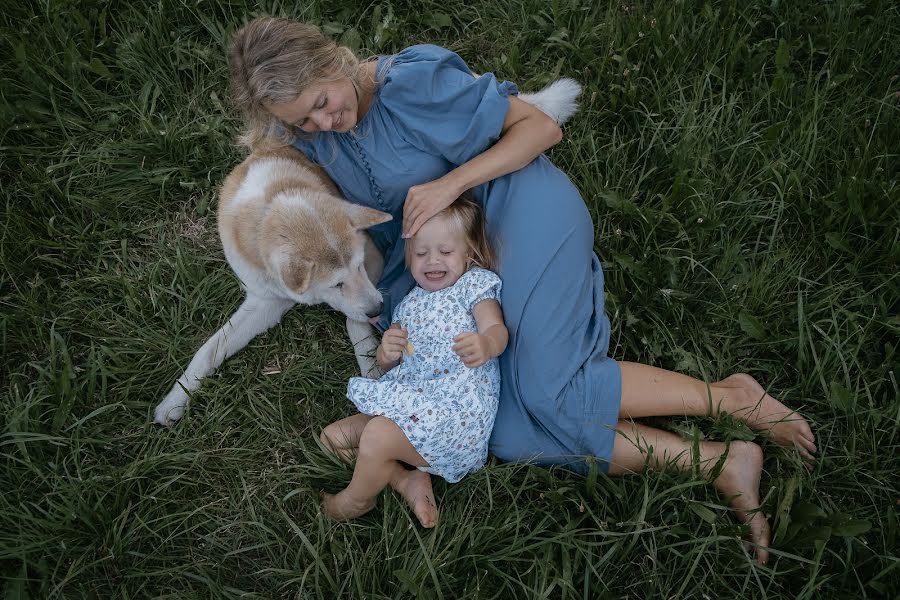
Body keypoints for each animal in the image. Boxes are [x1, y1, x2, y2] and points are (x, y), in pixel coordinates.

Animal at [156, 79, 580, 426]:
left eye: (359, 268)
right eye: (336, 283)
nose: (379, 309)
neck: (274, 201)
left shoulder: (374, 258)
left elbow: (353, 320)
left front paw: (371, 361)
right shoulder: (265, 301)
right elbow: (209, 350)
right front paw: (175, 400)